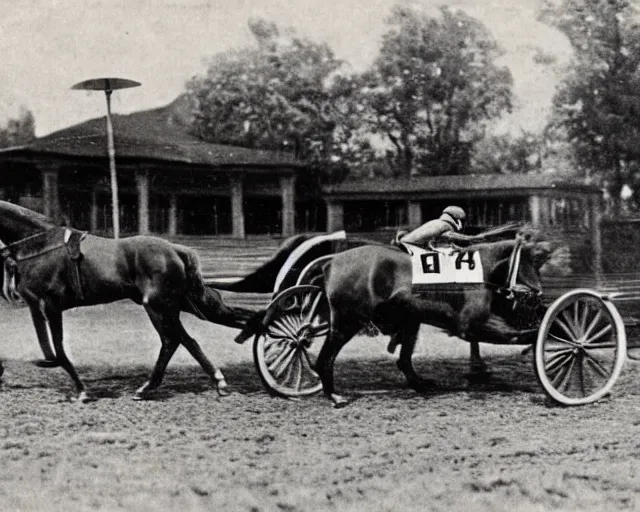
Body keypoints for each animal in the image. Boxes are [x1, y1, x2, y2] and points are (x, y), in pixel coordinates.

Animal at [318, 236, 548, 408]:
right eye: (530, 261)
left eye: (538, 263)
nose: (539, 293)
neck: (479, 269)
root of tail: (331, 262)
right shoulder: (471, 327)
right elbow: (519, 335)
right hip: (347, 323)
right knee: (325, 358)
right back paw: (334, 396)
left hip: (409, 319)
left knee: (404, 359)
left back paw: (421, 384)